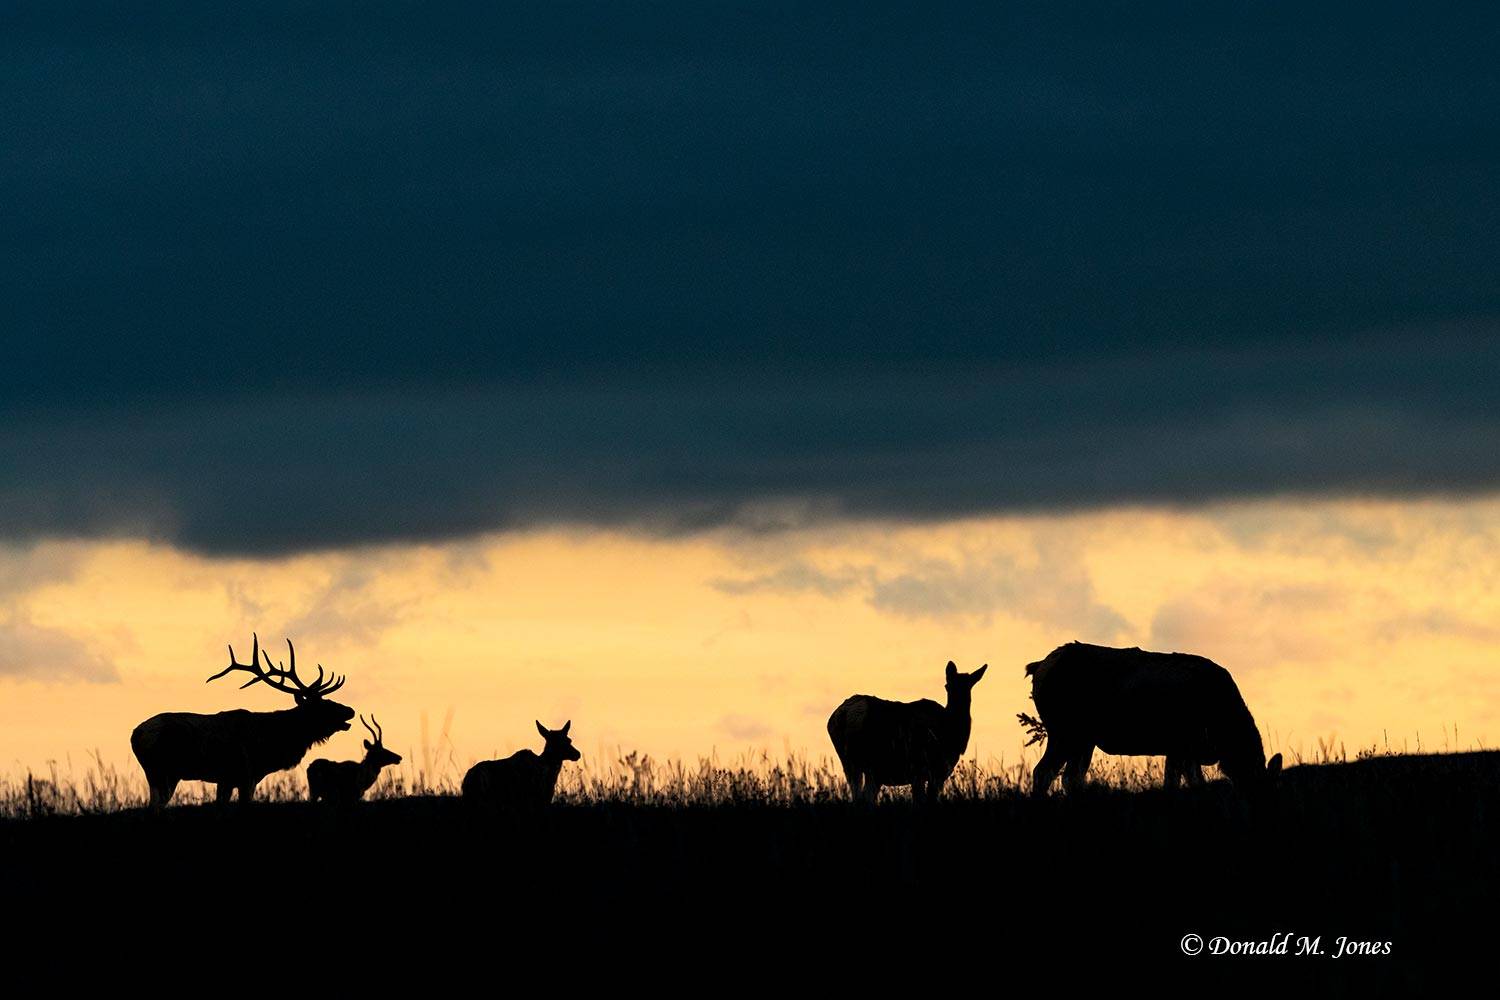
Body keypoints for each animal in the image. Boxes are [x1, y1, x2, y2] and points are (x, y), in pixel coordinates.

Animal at [131, 634, 356, 810]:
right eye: (322, 705)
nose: (350, 711)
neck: (271, 745)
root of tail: (135, 735)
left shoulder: (227, 779)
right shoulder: (246, 775)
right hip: (161, 771)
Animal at [827, 660, 988, 804]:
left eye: (969, 686)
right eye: (947, 685)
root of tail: (841, 715)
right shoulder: (929, 770)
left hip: (852, 763)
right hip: (869, 761)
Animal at [1024, 641, 1282, 797]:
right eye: (1261, 787)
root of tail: (1038, 667)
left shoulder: (1180, 749)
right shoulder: (1183, 744)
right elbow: (1189, 783)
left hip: (1084, 740)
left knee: (1071, 777)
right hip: (1064, 731)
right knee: (1043, 771)